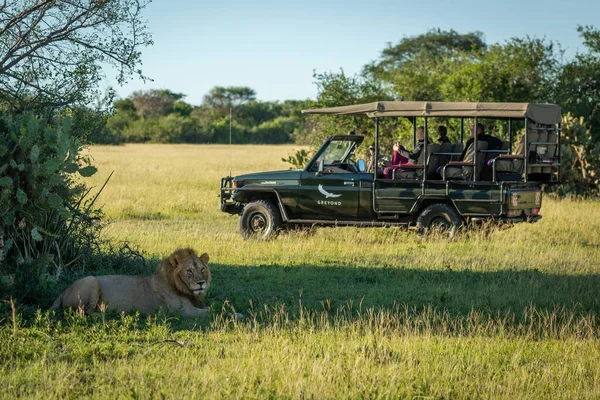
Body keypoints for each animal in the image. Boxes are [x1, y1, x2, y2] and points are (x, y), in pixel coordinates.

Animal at [51, 247, 216, 318]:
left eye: (202, 269)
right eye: (189, 271)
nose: (201, 283)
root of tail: (64, 291)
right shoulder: (184, 311)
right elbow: (214, 310)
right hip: (91, 280)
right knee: (83, 312)